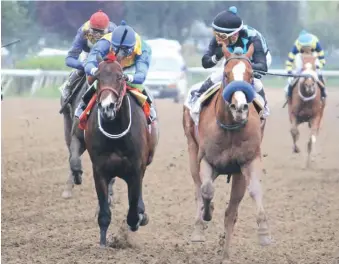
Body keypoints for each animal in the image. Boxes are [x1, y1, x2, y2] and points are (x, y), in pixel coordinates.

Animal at [85, 53, 159, 248]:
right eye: (98, 77)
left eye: (120, 77)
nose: (107, 106)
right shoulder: (100, 171)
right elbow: (104, 211)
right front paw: (103, 243)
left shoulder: (135, 170)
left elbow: (133, 209)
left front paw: (138, 218)